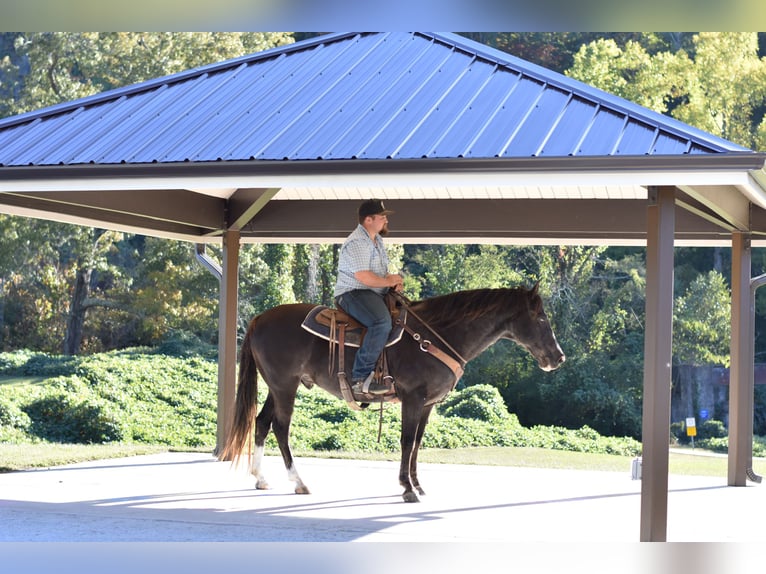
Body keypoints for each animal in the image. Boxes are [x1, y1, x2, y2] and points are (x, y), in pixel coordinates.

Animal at [219, 284, 565, 502]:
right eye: (540, 317)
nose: (558, 357)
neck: (435, 336)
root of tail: (260, 318)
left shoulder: (427, 404)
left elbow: (417, 444)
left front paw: (418, 485)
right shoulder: (412, 397)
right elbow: (407, 441)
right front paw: (407, 488)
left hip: (277, 387)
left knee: (262, 423)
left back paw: (261, 478)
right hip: (284, 386)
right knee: (280, 427)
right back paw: (299, 482)